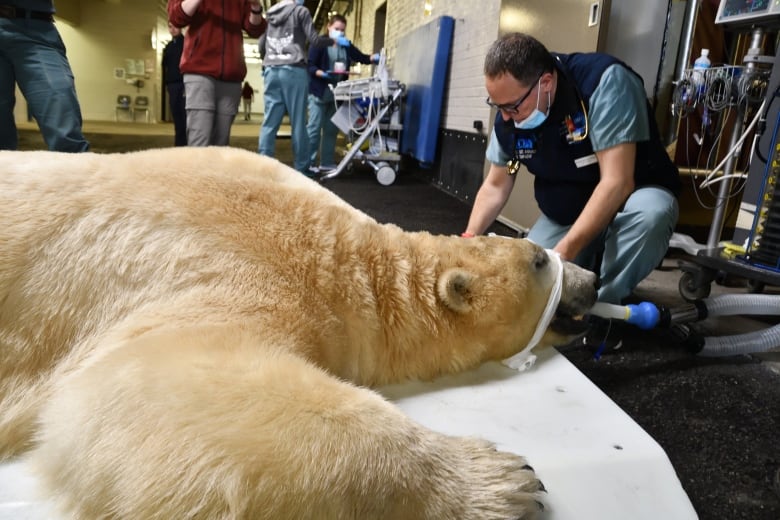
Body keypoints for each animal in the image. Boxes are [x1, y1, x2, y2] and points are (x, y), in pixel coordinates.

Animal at [0, 147, 596, 520]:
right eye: (540, 259)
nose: (592, 282)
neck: (343, 259)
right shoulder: (233, 280)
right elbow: (149, 383)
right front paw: (505, 480)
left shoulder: (247, 167)